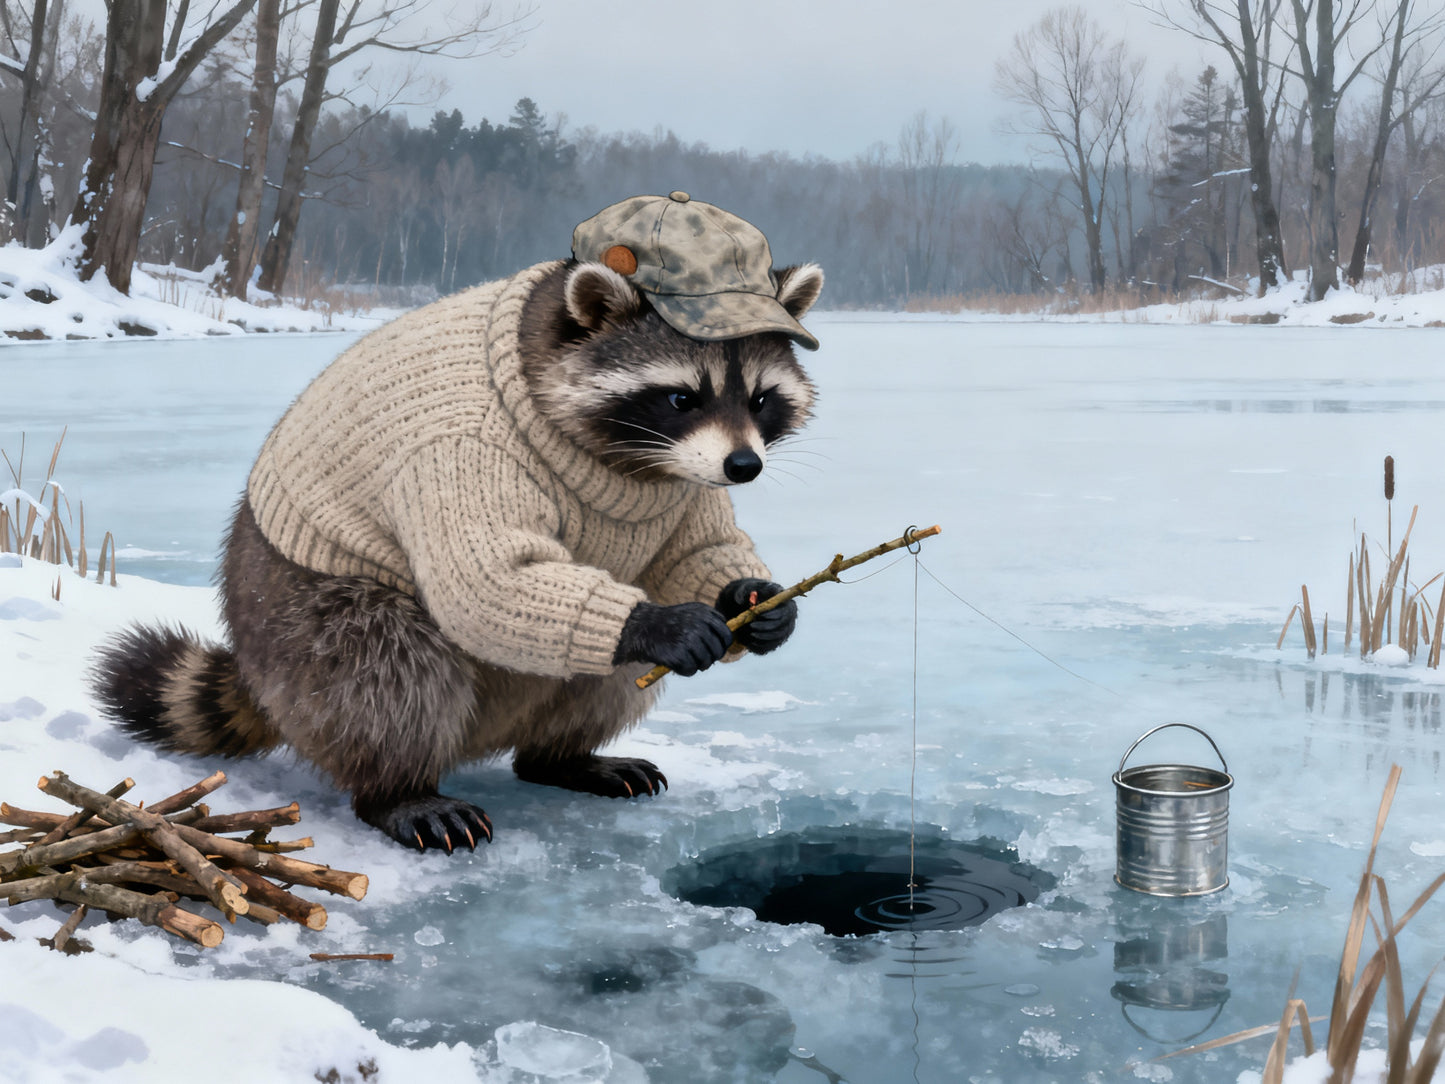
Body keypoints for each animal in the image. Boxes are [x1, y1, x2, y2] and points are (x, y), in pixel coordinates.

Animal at [91, 194, 824, 854]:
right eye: (680, 398)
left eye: (761, 399)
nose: (744, 466)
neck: (624, 463)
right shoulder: (455, 451)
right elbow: (484, 579)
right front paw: (657, 622)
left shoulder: (679, 483)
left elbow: (692, 549)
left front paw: (752, 599)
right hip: (296, 623)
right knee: (385, 665)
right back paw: (399, 787)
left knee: (604, 658)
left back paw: (560, 755)